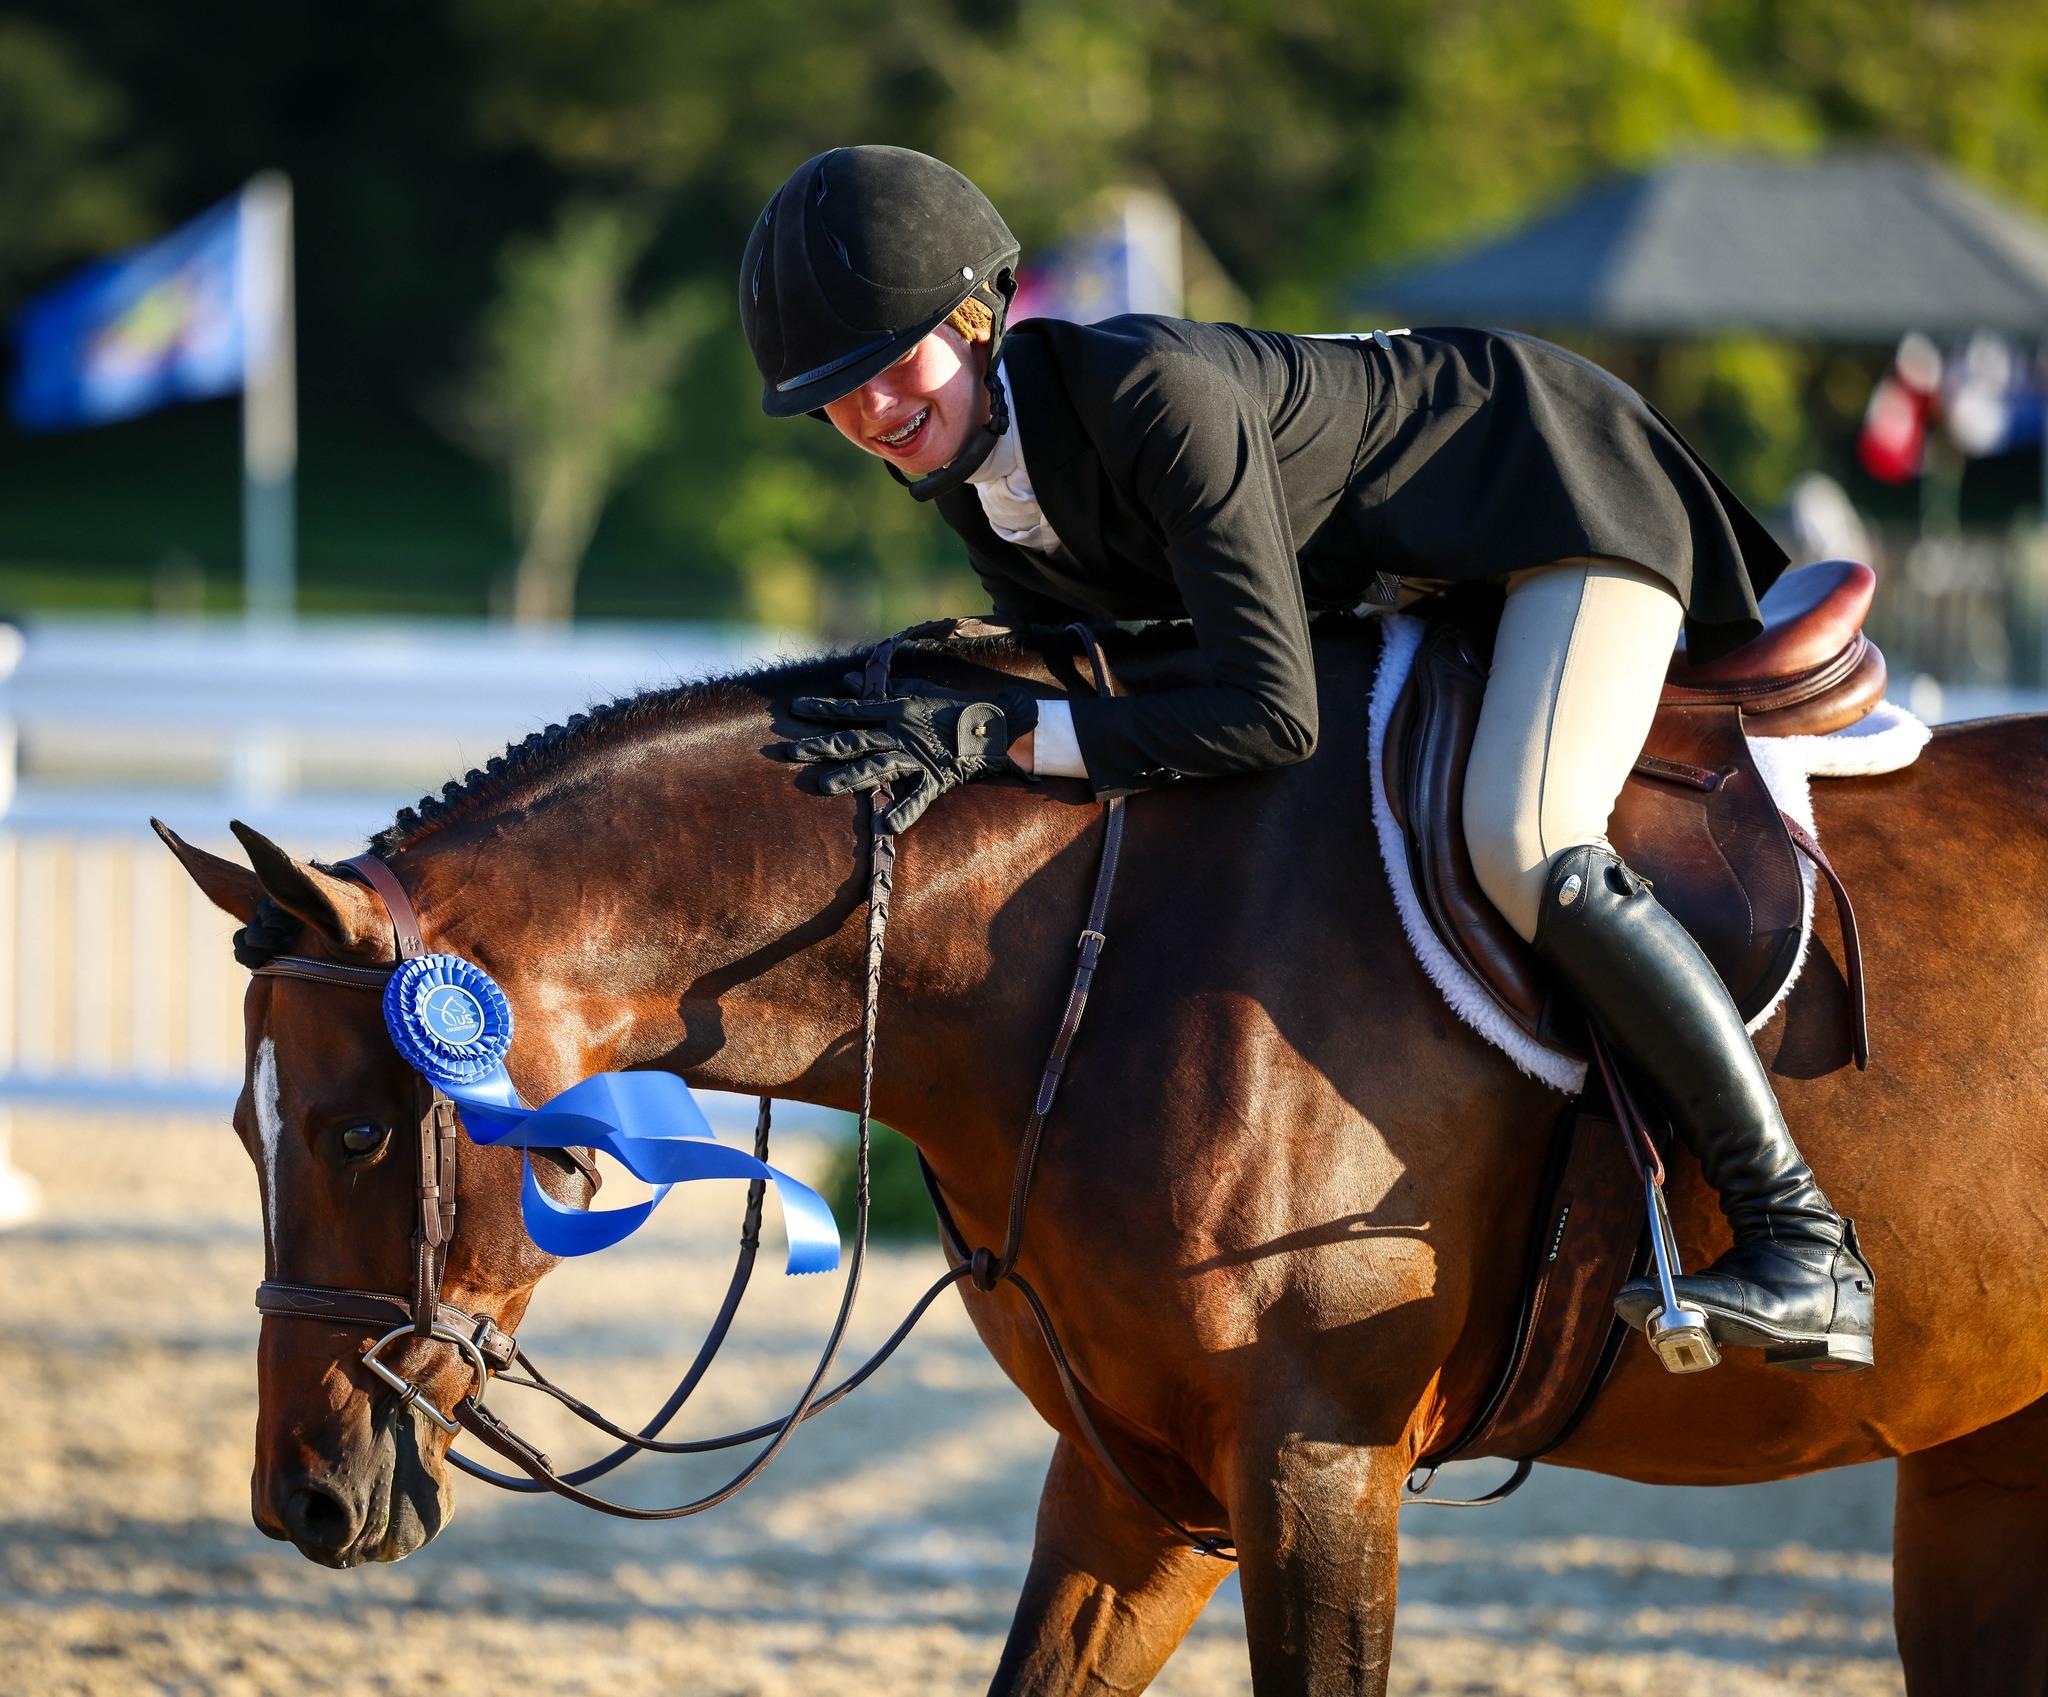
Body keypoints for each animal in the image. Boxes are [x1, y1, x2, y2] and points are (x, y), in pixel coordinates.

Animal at [158, 616, 2048, 1696]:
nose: (299, 1500)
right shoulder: (1137, 1487)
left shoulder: (1315, 1465)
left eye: (354, 1127)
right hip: (1979, 1450)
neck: (1073, 949)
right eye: (248, 1131)